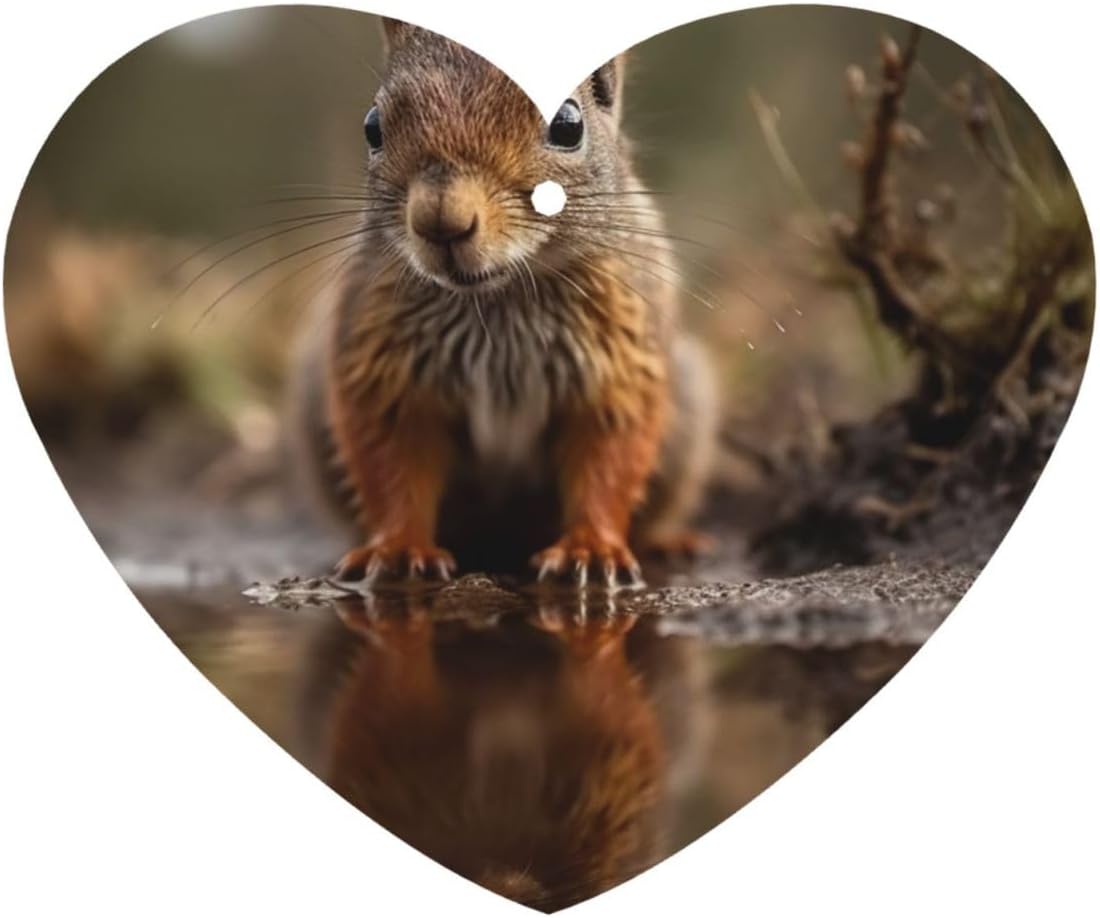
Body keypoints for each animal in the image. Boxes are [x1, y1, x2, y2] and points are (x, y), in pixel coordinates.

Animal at [289, 18, 718, 585]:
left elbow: (608, 460)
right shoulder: (380, 363)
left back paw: (669, 542)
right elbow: (392, 464)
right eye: (373, 127)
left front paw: (589, 550)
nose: (441, 219)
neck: (499, 298)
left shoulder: (620, 363)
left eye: (567, 124)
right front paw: (398, 549)